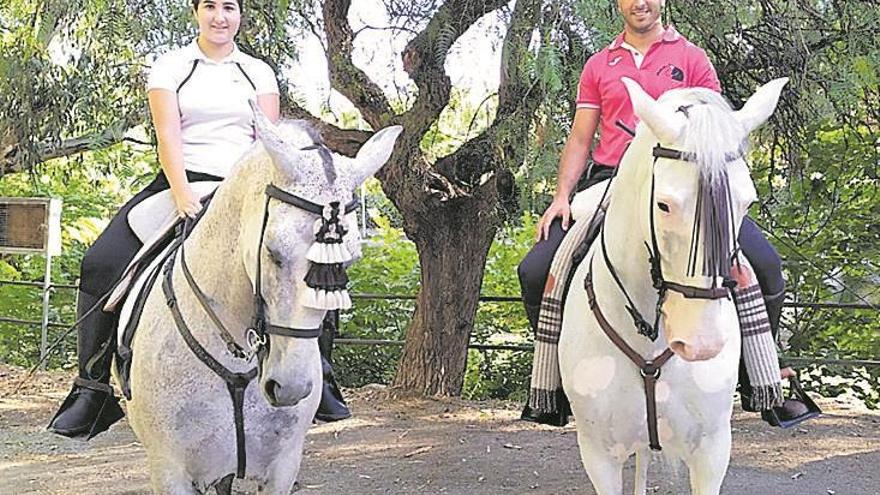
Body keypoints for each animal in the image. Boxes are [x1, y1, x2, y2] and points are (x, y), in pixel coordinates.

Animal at [117, 106, 402, 494]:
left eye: (349, 260)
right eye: (273, 252)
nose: (290, 387)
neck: (236, 363)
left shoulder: (282, 468)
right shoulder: (169, 470)